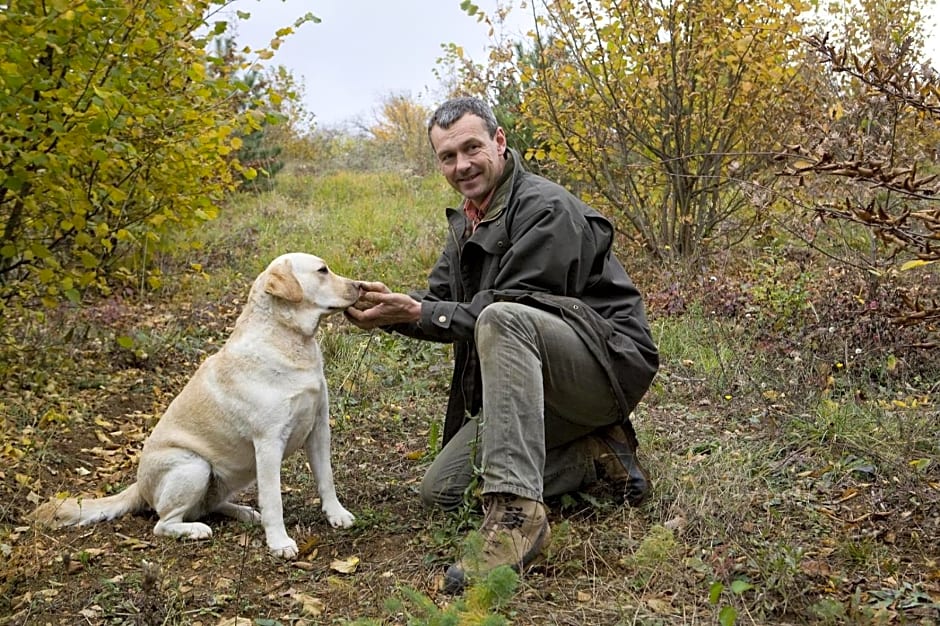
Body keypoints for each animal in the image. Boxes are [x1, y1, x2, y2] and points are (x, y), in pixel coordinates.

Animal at [31, 251, 362, 560]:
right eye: (322, 270)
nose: (360, 285)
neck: (288, 340)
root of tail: (138, 485)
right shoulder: (268, 443)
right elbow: (273, 500)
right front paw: (279, 542)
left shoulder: (318, 429)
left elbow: (326, 479)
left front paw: (336, 514)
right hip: (194, 466)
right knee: (164, 523)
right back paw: (195, 531)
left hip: (224, 477)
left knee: (207, 506)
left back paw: (244, 512)